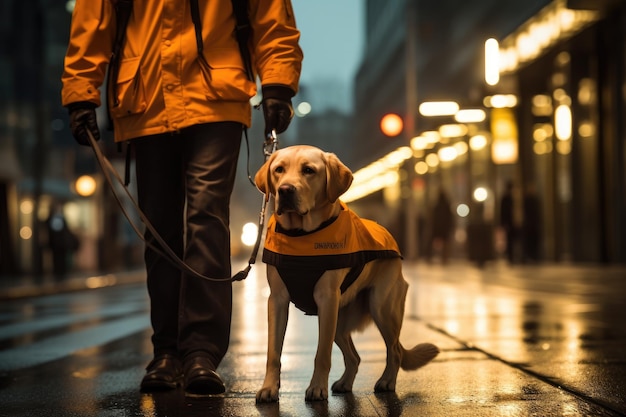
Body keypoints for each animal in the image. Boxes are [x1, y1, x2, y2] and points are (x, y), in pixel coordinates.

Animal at [251, 145, 436, 402]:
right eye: (279, 170)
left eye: (308, 170)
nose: (285, 190)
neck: (301, 234)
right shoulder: (277, 300)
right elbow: (273, 352)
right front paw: (269, 387)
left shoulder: (327, 299)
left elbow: (322, 353)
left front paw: (316, 387)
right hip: (339, 321)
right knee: (355, 357)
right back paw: (345, 383)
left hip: (381, 308)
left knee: (395, 350)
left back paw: (387, 381)